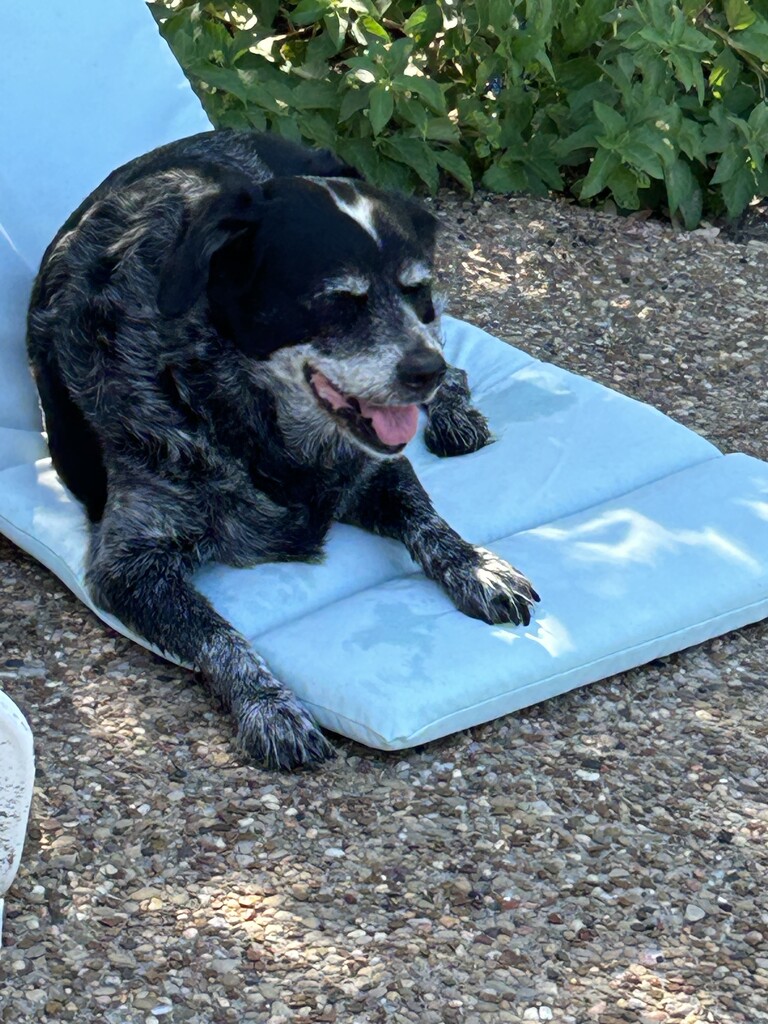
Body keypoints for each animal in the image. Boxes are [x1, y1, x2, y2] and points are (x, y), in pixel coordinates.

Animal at [25, 130, 540, 770]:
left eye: (415, 289)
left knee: (463, 365)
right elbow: (219, 634)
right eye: (338, 302)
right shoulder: (128, 564)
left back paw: (454, 413)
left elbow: (431, 522)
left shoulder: (376, 467)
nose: (425, 371)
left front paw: (478, 565)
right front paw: (271, 707)